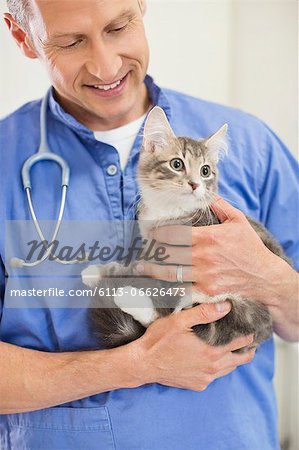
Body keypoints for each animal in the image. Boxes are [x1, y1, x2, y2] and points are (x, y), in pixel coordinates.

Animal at [81, 105, 290, 352]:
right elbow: (137, 265)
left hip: (238, 308)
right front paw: (100, 271)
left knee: (173, 316)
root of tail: (263, 329)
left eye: (205, 171)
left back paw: (129, 297)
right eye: (177, 164)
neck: (169, 210)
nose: (195, 184)